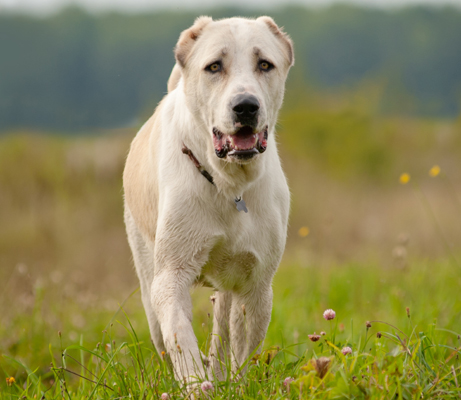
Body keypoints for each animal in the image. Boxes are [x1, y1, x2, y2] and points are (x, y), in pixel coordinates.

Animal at [123, 15, 292, 382]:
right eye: (214, 66)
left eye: (265, 64)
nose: (245, 106)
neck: (229, 185)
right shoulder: (170, 275)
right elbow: (180, 336)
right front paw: (196, 383)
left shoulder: (256, 285)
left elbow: (242, 351)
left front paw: (234, 385)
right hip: (146, 276)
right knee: (162, 335)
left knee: (223, 328)